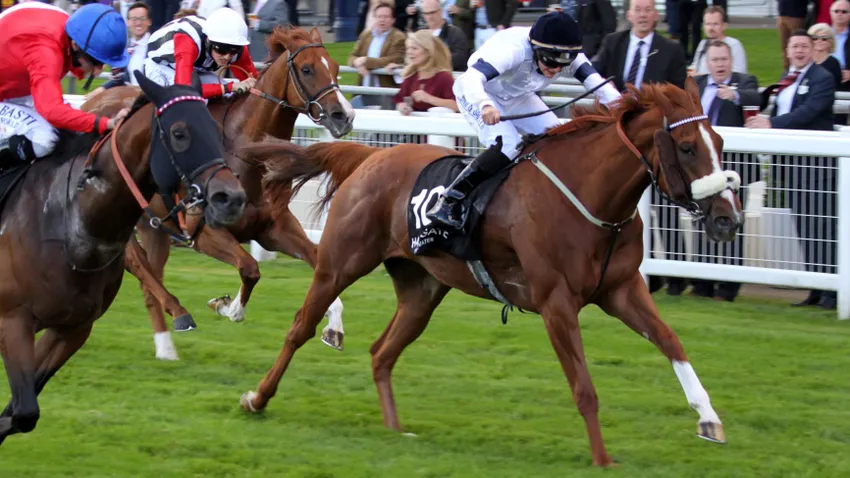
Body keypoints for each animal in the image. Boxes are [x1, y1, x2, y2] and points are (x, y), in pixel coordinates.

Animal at [0, 72, 245, 444]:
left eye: (217, 131)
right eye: (179, 133)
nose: (231, 198)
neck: (73, 225)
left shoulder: (72, 328)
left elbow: (17, 412)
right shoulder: (12, 321)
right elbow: (23, 411)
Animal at [83, 26, 352, 358]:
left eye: (336, 68)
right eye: (307, 69)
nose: (344, 116)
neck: (244, 151)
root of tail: (90, 103)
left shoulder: (273, 227)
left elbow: (318, 262)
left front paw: (333, 327)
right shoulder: (204, 233)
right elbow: (250, 269)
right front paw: (226, 307)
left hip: (153, 227)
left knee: (150, 278)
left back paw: (166, 348)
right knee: (137, 265)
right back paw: (180, 313)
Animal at [235, 79, 740, 466]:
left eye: (719, 144)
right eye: (688, 147)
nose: (727, 219)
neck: (590, 198)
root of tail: (369, 157)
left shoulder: (621, 289)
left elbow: (670, 341)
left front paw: (709, 419)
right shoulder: (556, 302)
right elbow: (584, 387)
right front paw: (602, 459)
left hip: (422, 288)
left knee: (382, 352)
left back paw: (395, 429)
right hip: (339, 263)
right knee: (300, 327)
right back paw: (257, 398)